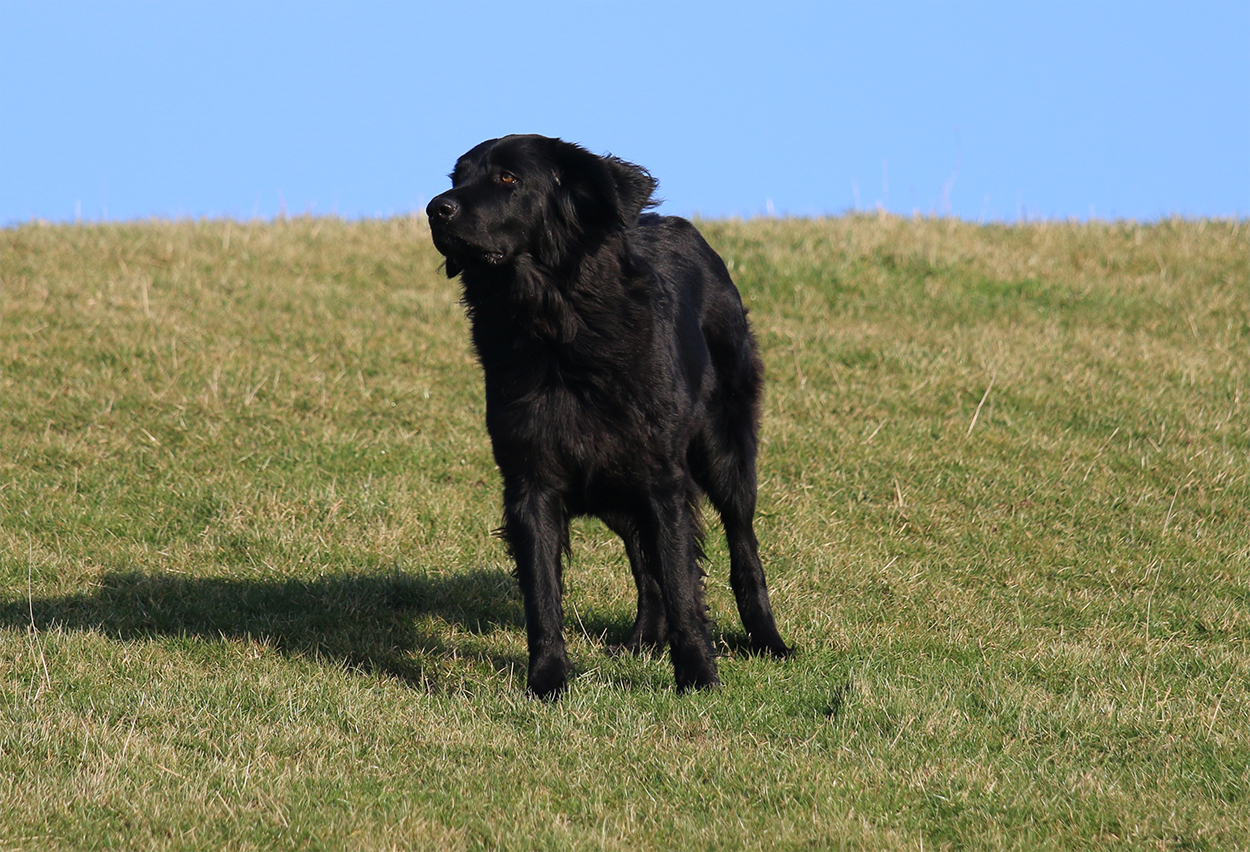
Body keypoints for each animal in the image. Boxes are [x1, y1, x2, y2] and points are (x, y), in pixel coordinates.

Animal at [426, 135, 790, 698]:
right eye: (456, 178)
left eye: (508, 179)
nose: (434, 209)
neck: (557, 329)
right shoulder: (531, 483)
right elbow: (543, 595)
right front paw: (547, 681)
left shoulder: (663, 480)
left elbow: (683, 582)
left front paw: (698, 675)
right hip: (613, 486)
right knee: (645, 562)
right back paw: (643, 641)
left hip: (722, 450)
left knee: (741, 544)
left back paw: (768, 640)